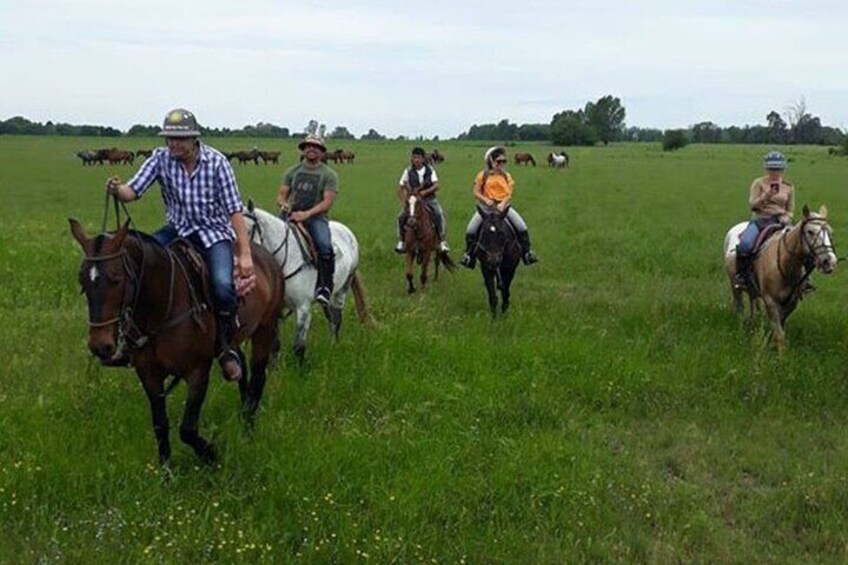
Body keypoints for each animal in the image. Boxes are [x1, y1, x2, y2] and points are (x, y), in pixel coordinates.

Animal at [68, 218, 284, 464]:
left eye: (116, 279)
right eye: (82, 280)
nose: (99, 346)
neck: (162, 308)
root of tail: (267, 258)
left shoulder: (197, 372)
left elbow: (187, 429)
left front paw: (212, 455)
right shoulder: (149, 375)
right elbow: (160, 426)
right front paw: (166, 470)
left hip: (265, 331)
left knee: (257, 380)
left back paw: (247, 431)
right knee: (240, 369)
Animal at [242, 203, 374, 362]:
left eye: (249, 230)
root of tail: (347, 231)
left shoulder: (303, 307)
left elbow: (299, 346)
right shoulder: (277, 308)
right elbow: (275, 344)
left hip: (344, 287)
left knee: (336, 318)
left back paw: (333, 348)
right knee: (330, 317)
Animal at [724, 205, 840, 350]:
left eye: (831, 232)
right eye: (810, 231)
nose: (829, 261)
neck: (786, 264)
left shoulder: (791, 303)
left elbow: (780, 327)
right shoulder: (770, 301)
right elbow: (779, 334)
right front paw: (780, 354)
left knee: (752, 300)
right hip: (734, 285)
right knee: (739, 307)